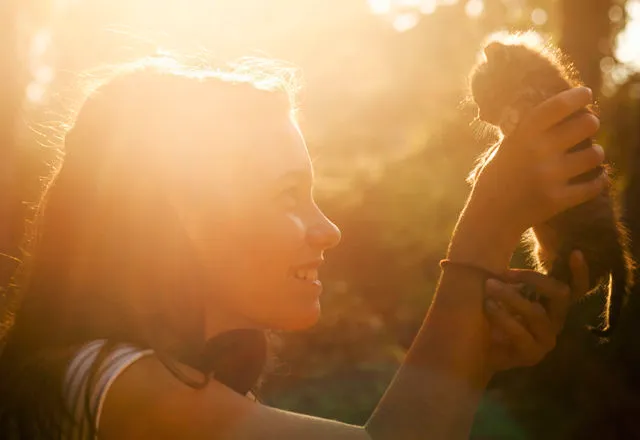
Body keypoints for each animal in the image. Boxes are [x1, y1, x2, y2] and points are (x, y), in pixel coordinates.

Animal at [464, 33, 636, 336]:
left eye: (485, 94)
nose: (482, 116)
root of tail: (615, 244)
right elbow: (501, 138)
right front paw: (483, 162)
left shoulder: (547, 104)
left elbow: (520, 108)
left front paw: (510, 117)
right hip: (547, 251)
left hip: (578, 247)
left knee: (574, 277)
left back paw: (535, 290)